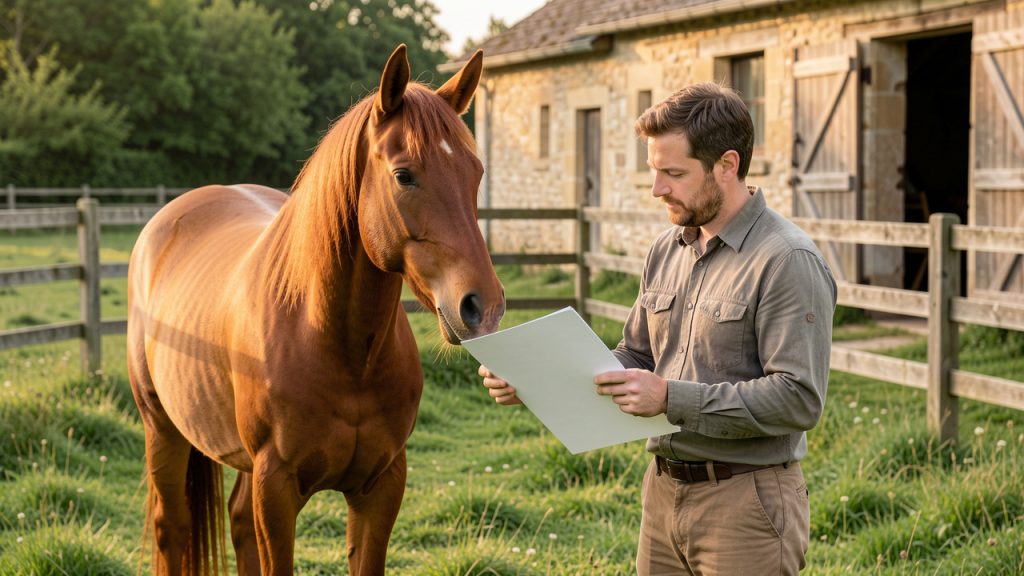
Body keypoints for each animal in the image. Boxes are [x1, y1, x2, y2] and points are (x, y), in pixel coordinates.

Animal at [126, 45, 504, 575]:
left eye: (476, 172)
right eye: (404, 175)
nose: (481, 307)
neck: (337, 346)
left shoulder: (381, 486)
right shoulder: (276, 489)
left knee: (237, 520)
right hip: (161, 428)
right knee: (172, 528)